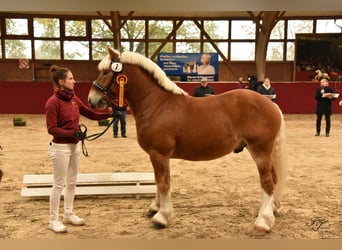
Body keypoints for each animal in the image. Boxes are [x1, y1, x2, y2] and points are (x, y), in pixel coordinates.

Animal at [87, 47, 288, 234]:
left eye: (106, 72)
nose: (92, 100)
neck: (158, 104)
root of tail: (271, 104)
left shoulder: (159, 154)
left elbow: (164, 183)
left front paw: (162, 217)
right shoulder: (155, 155)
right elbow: (157, 181)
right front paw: (155, 208)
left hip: (260, 151)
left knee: (267, 182)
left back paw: (263, 222)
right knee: (274, 179)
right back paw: (271, 211)